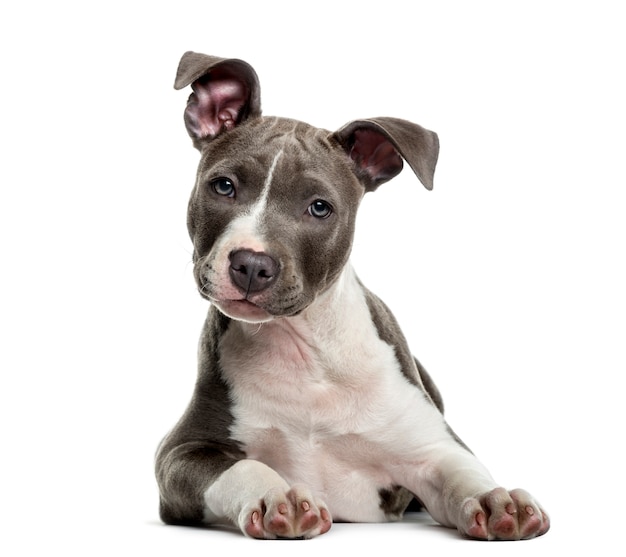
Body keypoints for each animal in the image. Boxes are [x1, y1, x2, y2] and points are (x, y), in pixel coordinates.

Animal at [154, 51, 548, 540]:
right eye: (223, 186)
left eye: (320, 208)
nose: (252, 264)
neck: (302, 346)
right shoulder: (179, 453)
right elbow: (241, 468)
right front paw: (277, 494)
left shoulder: (433, 447)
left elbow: (462, 472)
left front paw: (497, 500)